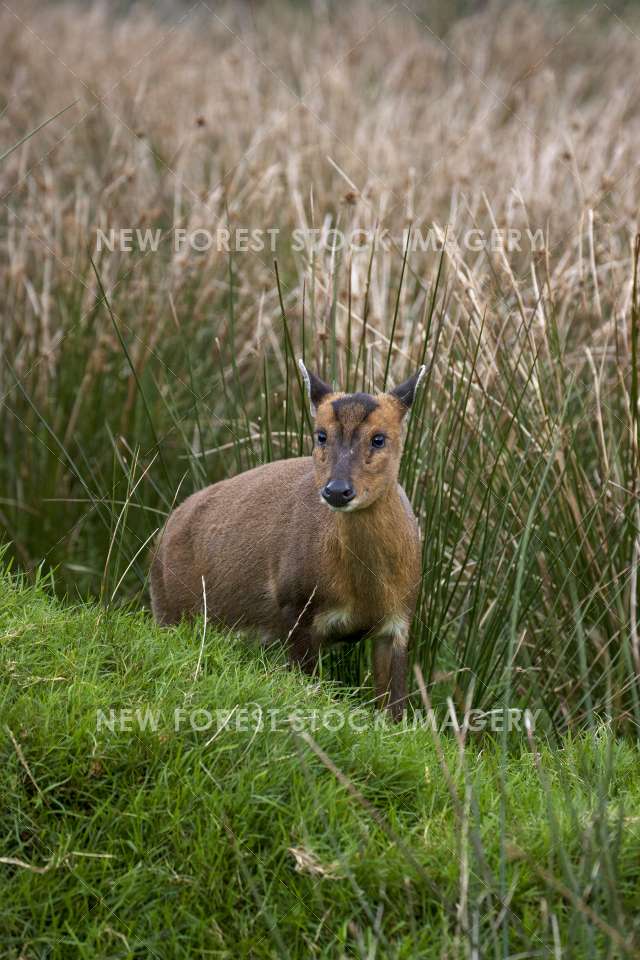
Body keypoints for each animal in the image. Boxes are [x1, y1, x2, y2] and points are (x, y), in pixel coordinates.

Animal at [151, 362, 424, 720]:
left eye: (379, 438)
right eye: (321, 434)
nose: (337, 490)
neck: (365, 594)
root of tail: (163, 533)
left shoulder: (400, 621)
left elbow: (395, 711)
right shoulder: (296, 604)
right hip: (170, 611)